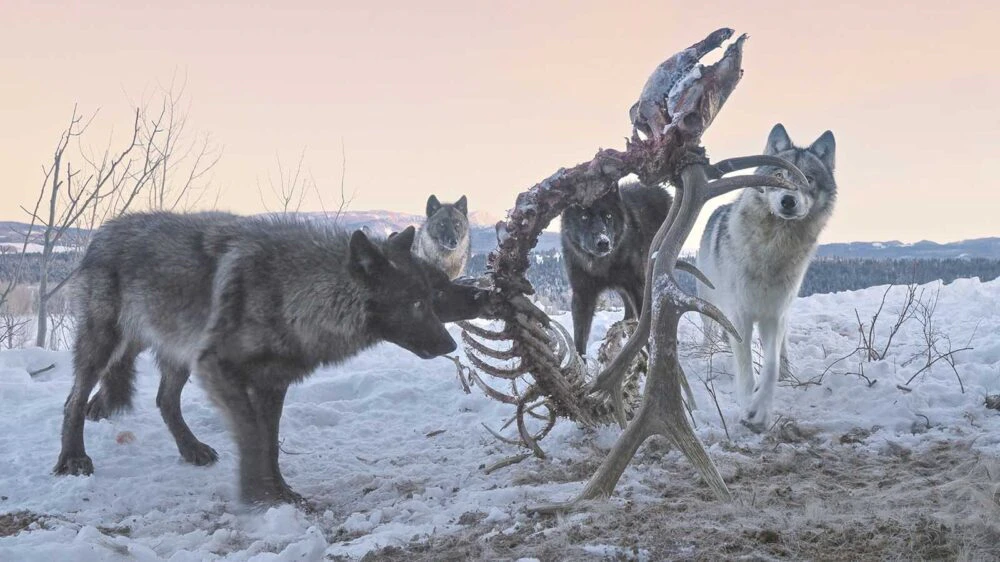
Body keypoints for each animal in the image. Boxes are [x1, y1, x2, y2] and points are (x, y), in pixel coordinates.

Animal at [54, 212, 488, 505]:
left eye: (431, 296)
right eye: (418, 302)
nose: (450, 346)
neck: (292, 293)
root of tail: (104, 230)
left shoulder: (272, 384)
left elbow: (270, 443)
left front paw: (280, 492)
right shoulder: (221, 370)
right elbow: (251, 436)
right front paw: (256, 494)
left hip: (179, 352)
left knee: (164, 400)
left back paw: (191, 450)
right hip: (104, 343)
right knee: (74, 400)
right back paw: (73, 459)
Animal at [561, 181, 672, 356]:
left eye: (608, 216)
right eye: (584, 217)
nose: (603, 242)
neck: (601, 265)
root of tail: (661, 189)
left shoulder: (637, 286)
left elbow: (644, 327)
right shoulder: (582, 294)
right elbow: (579, 337)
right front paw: (580, 362)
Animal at [697, 123, 837, 431]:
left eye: (809, 179)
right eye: (778, 176)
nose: (788, 201)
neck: (773, 250)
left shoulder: (774, 314)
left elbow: (769, 366)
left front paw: (760, 410)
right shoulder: (740, 316)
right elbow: (746, 367)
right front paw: (747, 405)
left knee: (781, 351)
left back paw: (787, 372)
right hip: (709, 301)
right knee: (709, 333)